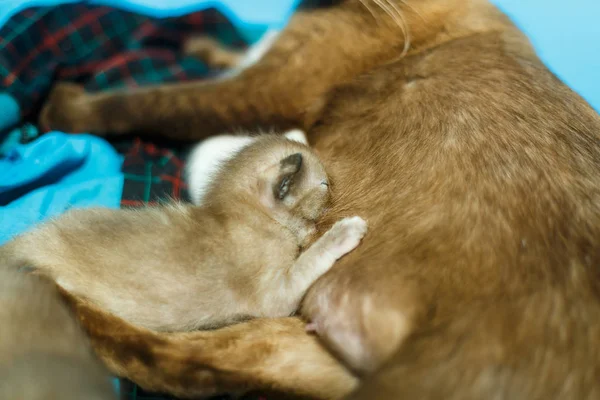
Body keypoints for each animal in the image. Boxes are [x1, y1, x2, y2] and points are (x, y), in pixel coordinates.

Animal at [37, 0, 600, 400]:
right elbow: (232, 52)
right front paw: (207, 43)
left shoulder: (255, 92)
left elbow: (144, 101)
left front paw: (57, 109)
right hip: (306, 346)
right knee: (189, 365)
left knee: (167, 364)